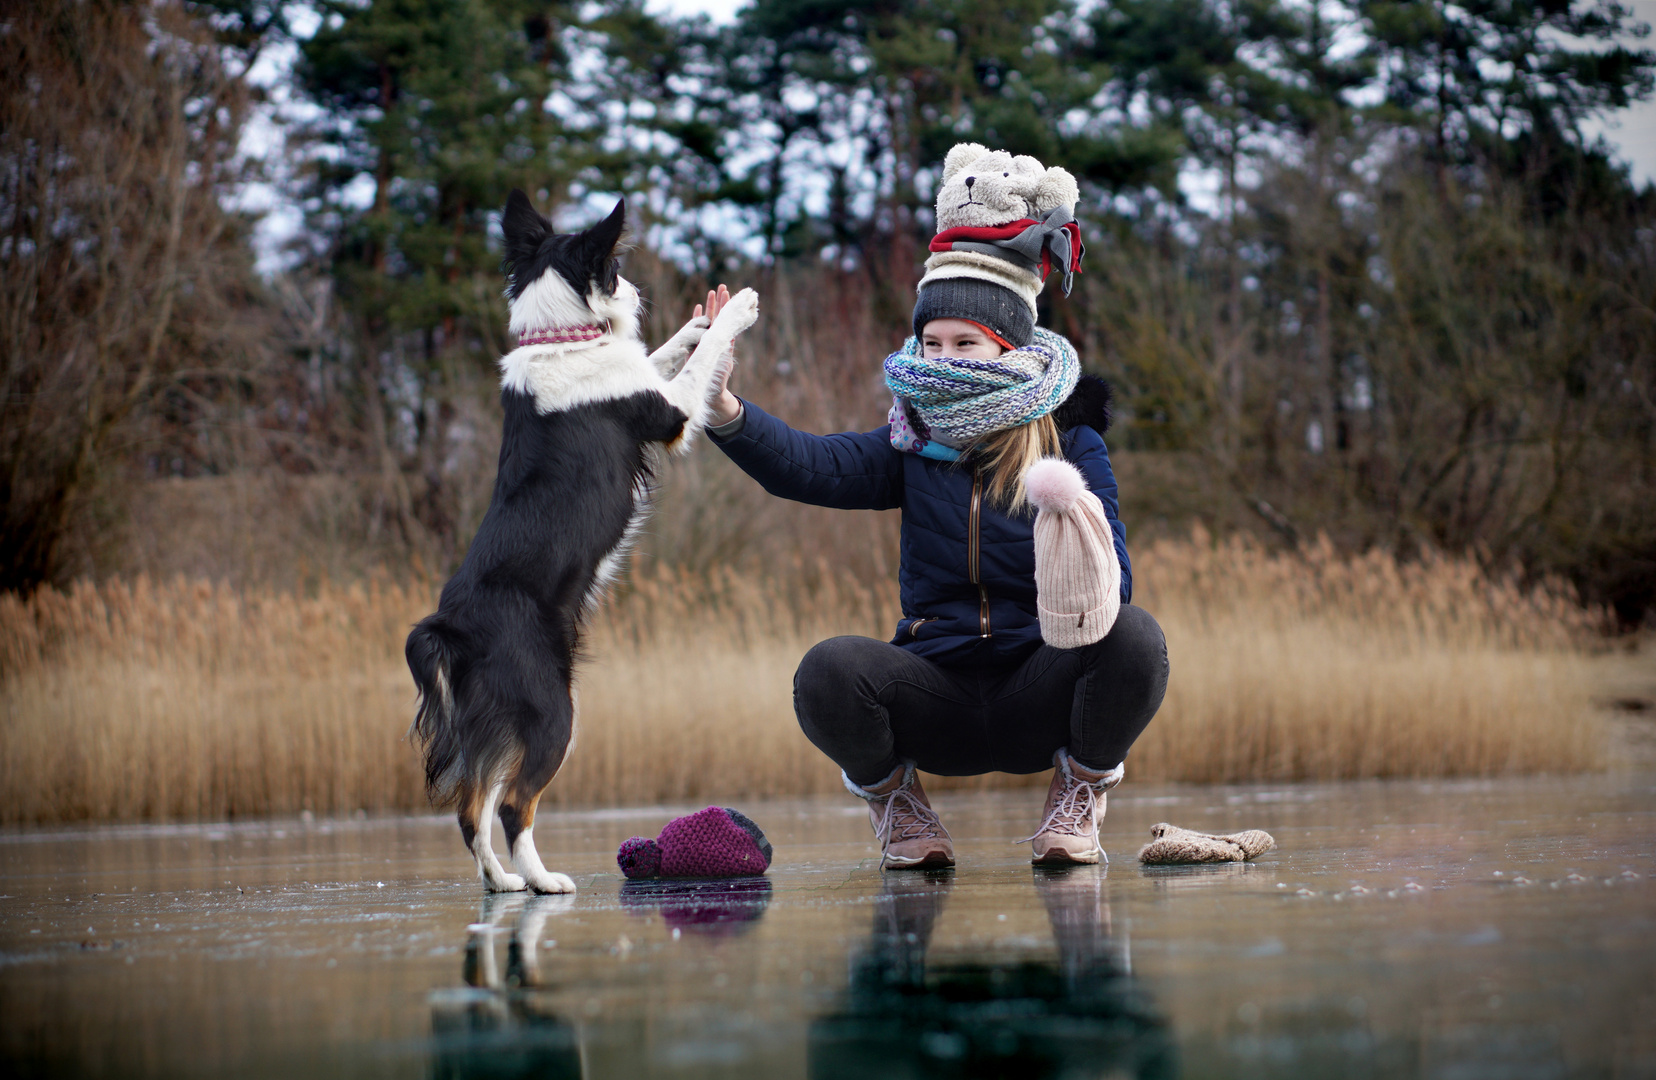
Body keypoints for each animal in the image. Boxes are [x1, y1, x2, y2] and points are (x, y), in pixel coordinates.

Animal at [407, 192, 758, 894]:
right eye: (616, 268)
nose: (638, 287)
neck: (557, 340)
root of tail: (449, 625)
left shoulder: (649, 378)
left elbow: (662, 349)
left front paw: (698, 320)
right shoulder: (670, 413)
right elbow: (696, 366)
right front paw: (736, 308)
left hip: (500, 717)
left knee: (472, 805)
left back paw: (502, 881)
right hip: (553, 713)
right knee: (513, 802)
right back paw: (544, 881)